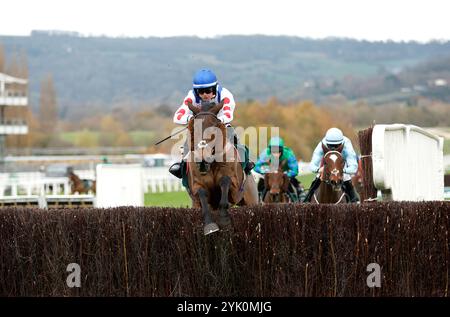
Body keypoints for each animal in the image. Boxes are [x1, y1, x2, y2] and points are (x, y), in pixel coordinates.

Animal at [185, 100, 258, 233]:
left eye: (214, 128)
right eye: (194, 128)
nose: (202, 160)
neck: (212, 163)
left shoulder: (235, 189)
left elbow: (225, 181)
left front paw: (224, 220)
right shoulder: (197, 186)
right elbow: (202, 193)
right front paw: (210, 225)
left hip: (251, 199)